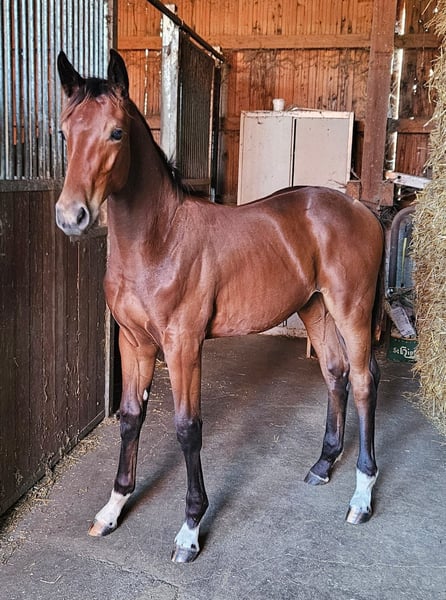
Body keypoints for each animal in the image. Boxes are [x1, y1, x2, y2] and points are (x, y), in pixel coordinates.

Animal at [56, 49, 384, 563]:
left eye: (116, 133)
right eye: (64, 133)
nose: (72, 217)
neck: (159, 240)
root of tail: (361, 208)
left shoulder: (183, 345)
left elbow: (188, 428)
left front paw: (190, 528)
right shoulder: (135, 343)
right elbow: (130, 418)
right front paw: (113, 508)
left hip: (351, 308)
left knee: (366, 381)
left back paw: (362, 497)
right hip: (314, 308)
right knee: (336, 374)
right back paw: (322, 465)